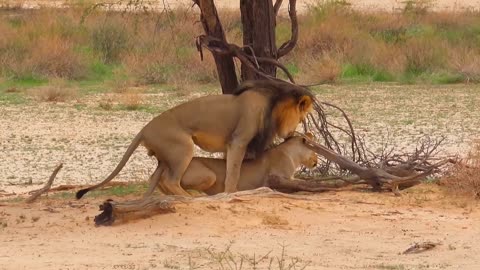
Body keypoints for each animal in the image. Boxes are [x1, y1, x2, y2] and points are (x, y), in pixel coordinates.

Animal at [146, 133, 318, 195]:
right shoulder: (280, 177)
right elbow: (301, 183)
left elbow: (303, 181)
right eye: (314, 149)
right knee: (170, 182)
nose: (317, 160)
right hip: (209, 175)